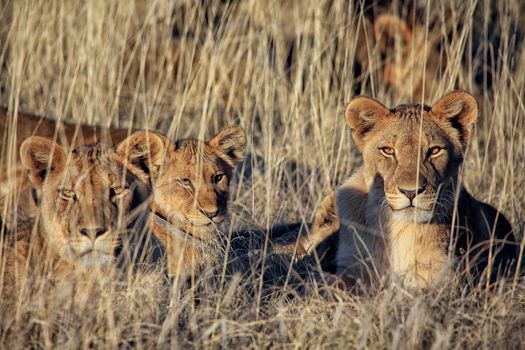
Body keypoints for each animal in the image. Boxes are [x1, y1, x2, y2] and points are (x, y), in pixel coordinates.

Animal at [302, 91, 516, 290]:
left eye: (434, 150)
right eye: (388, 151)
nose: (411, 192)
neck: (397, 228)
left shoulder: (444, 279)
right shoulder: (351, 266)